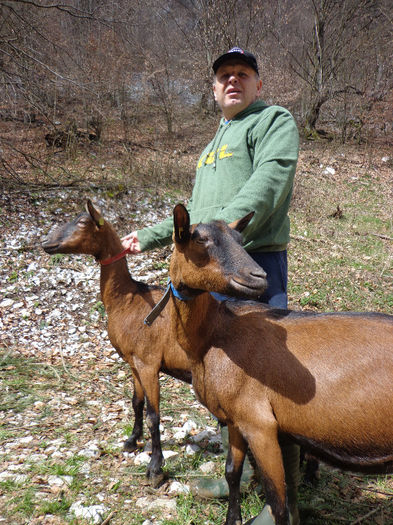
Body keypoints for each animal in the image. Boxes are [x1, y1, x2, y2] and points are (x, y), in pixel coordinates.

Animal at [42, 199, 191, 486]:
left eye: (82, 222)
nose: (45, 242)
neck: (128, 299)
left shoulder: (148, 364)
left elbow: (154, 415)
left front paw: (155, 467)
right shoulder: (133, 363)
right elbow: (136, 402)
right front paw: (132, 440)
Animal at [168, 204, 392, 524]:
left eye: (241, 239)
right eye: (198, 239)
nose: (257, 275)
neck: (215, 335)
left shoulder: (259, 423)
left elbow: (278, 501)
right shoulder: (235, 418)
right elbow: (232, 472)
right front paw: (232, 518)